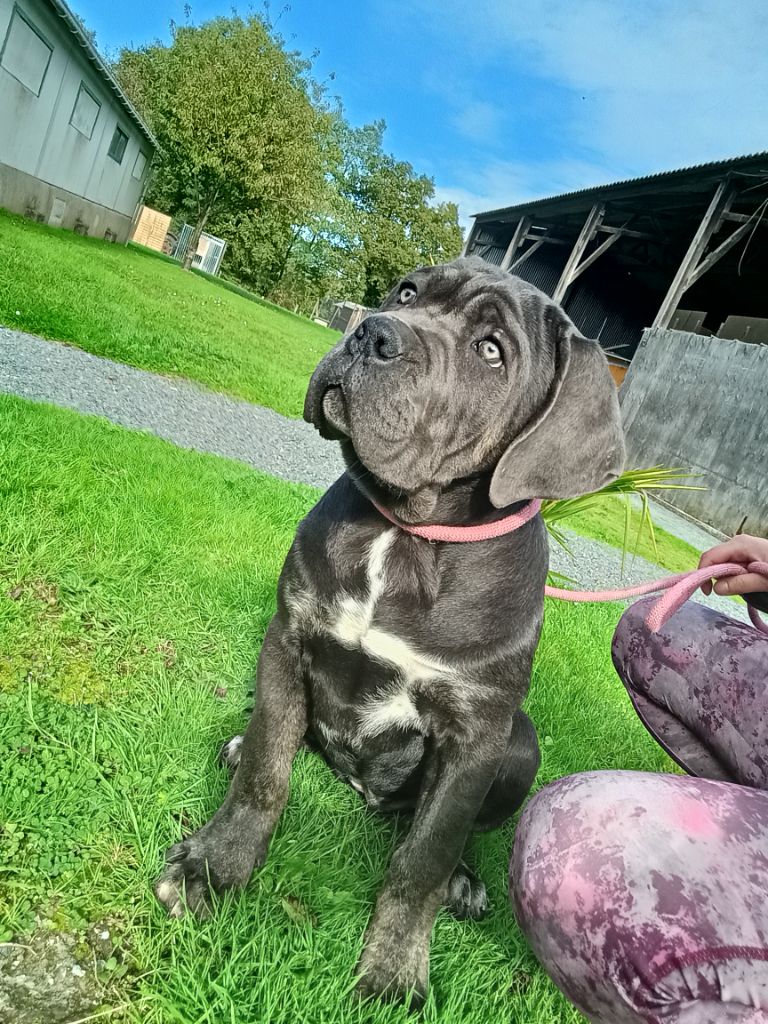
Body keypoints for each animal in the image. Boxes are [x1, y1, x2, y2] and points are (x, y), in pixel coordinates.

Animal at [154, 253, 626, 999]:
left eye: (491, 351)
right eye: (407, 291)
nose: (373, 333)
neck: (404, 535)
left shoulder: (474, 732)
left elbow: (424, 857)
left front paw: (395, 968)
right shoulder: (288, 638)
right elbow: (266, 771)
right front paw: (214, 867)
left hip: (519, 744)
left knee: (437, 832)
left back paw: (463, 880)